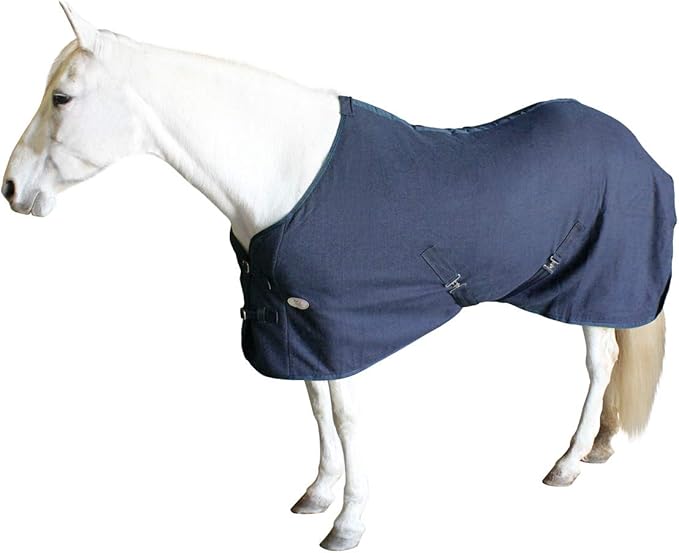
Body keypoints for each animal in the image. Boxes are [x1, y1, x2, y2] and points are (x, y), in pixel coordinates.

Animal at [2, 4, 673, 550]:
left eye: (61, 98)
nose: (11, 188)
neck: (286, 175)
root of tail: (636, 147)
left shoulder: (340, 326)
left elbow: (346, 420)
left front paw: (348, 524)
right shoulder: (298, 327)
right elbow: (316, 407)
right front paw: (318, 494)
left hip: (596, 285)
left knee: (600, 363)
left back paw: (568, 462)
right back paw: (600, 446)